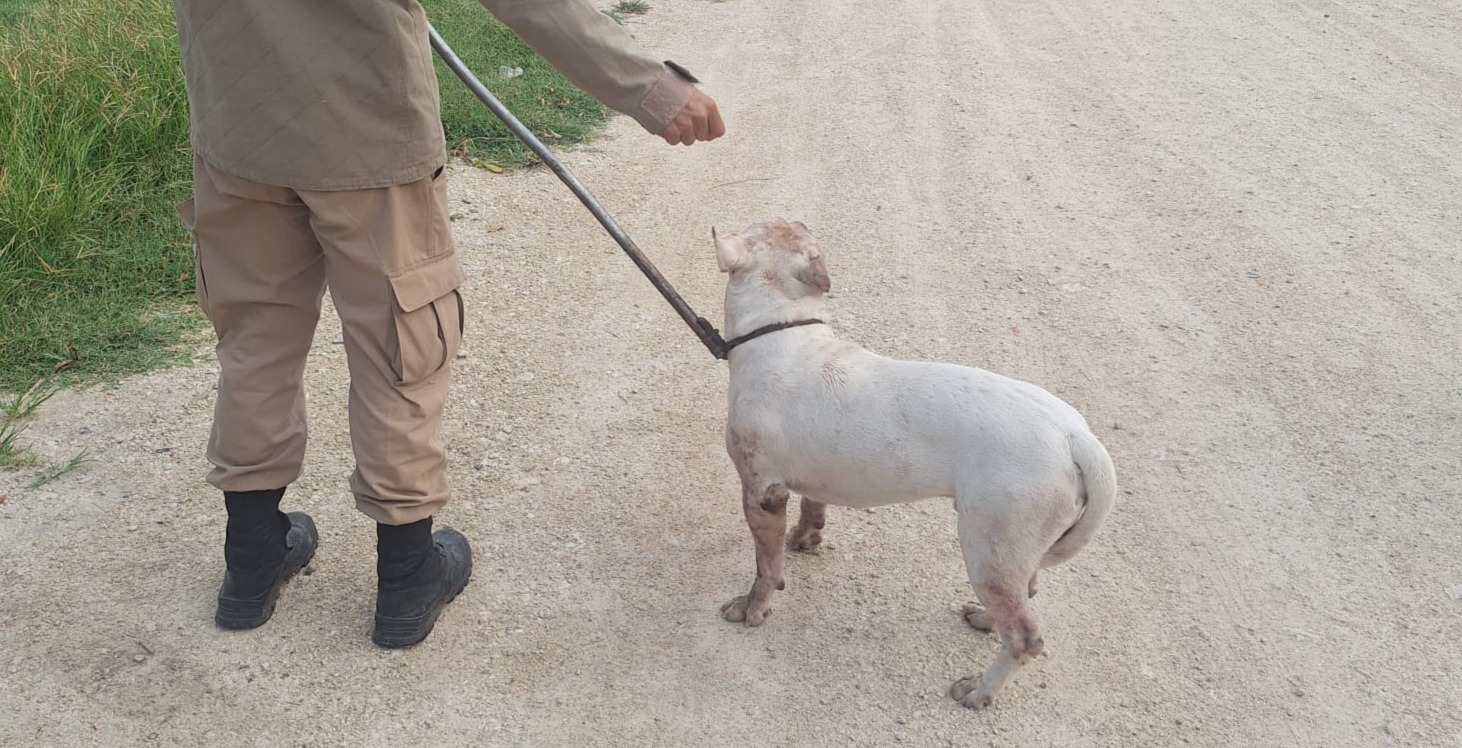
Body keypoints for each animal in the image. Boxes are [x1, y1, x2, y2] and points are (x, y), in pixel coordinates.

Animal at [713, 220, 1117, 709]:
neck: (780, 329)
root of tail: (1076, 437)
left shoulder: (761, 493)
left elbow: (765, 566)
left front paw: (754, 607)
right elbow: (813, 508)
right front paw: (806, 539)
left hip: (989, 545)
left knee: (1025, 636)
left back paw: (979, 691)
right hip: (1010, 550)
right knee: (1025, 593)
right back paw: (985, 620)